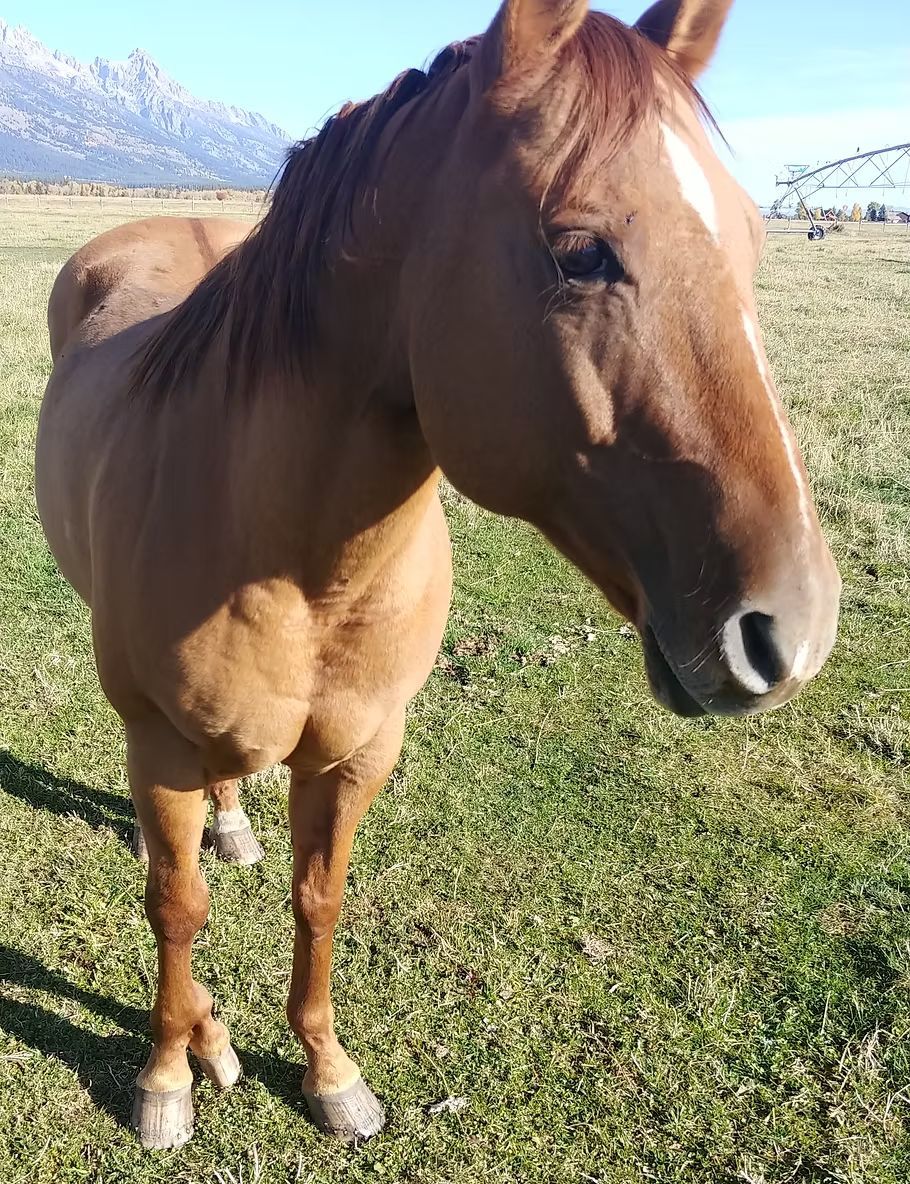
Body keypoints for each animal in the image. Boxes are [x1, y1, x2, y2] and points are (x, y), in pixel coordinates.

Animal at [35, 0, 841, 1152]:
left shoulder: (362, 750)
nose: (793, 631)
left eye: (753, 235)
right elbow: (175, 907)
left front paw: (327, 1071)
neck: (296, 563)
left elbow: (319, 899)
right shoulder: (157, 745)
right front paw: (175, 1067)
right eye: (581, 250)